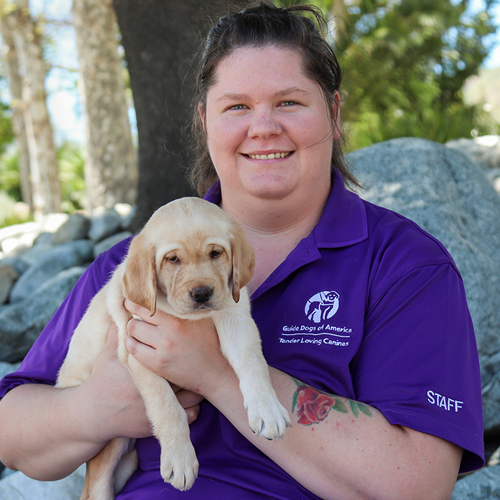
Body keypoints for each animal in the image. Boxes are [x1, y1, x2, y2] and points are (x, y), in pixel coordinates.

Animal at [55, 198, 292, 500]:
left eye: (216, 253)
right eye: (173, 259)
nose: (202, 293)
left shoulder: (236, 318)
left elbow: (253, 361)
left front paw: (267, 409)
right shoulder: (137, 350)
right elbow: (167, 406)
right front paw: (180, 459)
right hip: (109, 445)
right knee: (95, 488)